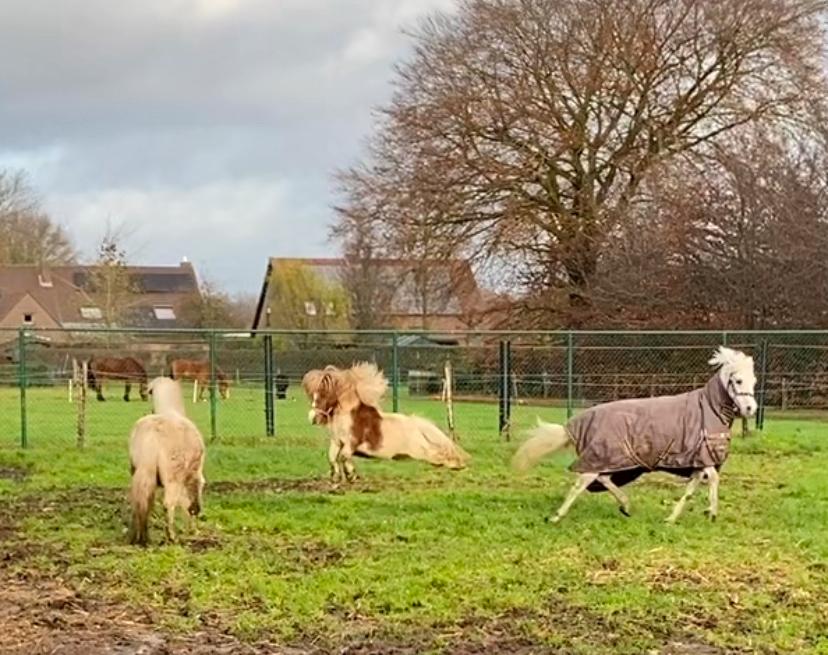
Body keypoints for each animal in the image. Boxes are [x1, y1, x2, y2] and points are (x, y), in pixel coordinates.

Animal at [128, 377, 206, 546]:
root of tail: (152, 436)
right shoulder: (193, 476)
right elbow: (190, 502)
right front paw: (193, 529)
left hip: (141, 471)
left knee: (141, 502)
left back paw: (140, 537)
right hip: (173, 476)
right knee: (168, 504)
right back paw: (171, 536)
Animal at [302, 362, 470, 484]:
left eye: (324, 394)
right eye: (313, 395)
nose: (312, 418)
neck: (348, 415)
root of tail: (417, 426)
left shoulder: (351, 443)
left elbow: (343, 457)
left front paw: (351, 475)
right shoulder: (337, 441)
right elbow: (332, 458)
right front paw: (337, 477)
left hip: (420, 450)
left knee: (439, 455)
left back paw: (457, 465)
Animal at [512, 346, 757, 524]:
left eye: (753, 381)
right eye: (737, 381)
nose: (750, 409)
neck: (708, 407)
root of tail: (574, 425)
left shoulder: (698, 461)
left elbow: (690, 490)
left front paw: (671, 518)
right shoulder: (704, 458)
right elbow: (713, 479)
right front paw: (711, 513)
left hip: (612, 459)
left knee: (603, 478)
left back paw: (626, 506)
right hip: (600, 457)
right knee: (581, 483)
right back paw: (556, 517)